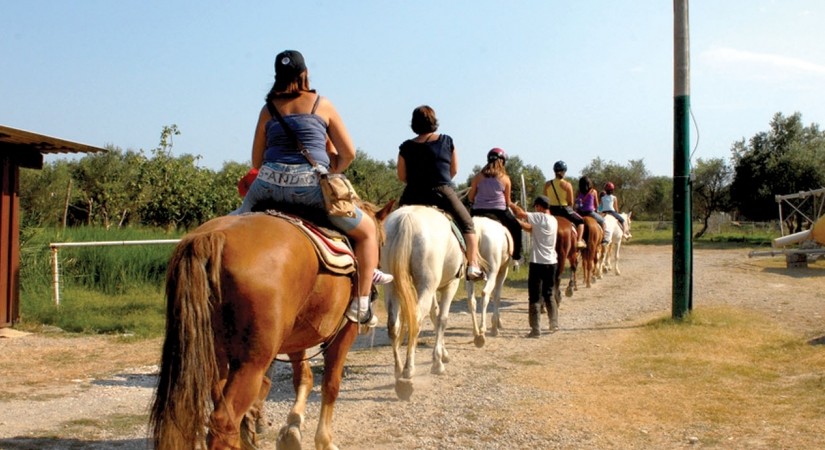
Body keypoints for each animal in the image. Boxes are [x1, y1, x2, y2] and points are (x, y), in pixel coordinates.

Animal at [148, 205, 390, 450]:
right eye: (382, 241)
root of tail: (214, 237)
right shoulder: (343, 334)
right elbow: (330, 384)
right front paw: (324, 440)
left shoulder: (297, 338)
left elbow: (303, 377)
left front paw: (292, 431)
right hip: (251, 363)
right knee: (225, 422)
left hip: (216, 357)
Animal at [380, 206, 464, 400]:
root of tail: (407, 218)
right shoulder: (451, 285)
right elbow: (442, 319)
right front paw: (438, 363)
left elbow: (435, 315)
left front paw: (442, 354)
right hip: (426, 285)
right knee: (415, 320)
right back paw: (408, 371)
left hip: (391, 285)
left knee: (393, 324)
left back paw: (398, 370)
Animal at [466, 216, 512, 346]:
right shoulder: (503, 271)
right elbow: (497, 296)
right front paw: (495, 327)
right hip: (493, 272)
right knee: (485, 294)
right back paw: (482, 330)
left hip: (469, 277)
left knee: (471, 300)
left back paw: (476, 332)